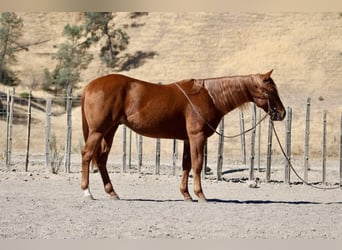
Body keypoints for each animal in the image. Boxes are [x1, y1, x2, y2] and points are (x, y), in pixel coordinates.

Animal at [81, 69, 286, 202]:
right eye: (270, 90)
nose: (282, 113)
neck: (210, 96)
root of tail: (90, 86)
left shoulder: (188, 139)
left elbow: (186, 165)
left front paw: (186, 194)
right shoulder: (197, 137)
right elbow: (197, 165)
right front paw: (201, 195)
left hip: (110, 130)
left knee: (101, 160)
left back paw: (112, 193)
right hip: (98, 131)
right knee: (87, 155)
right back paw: (87, 192)